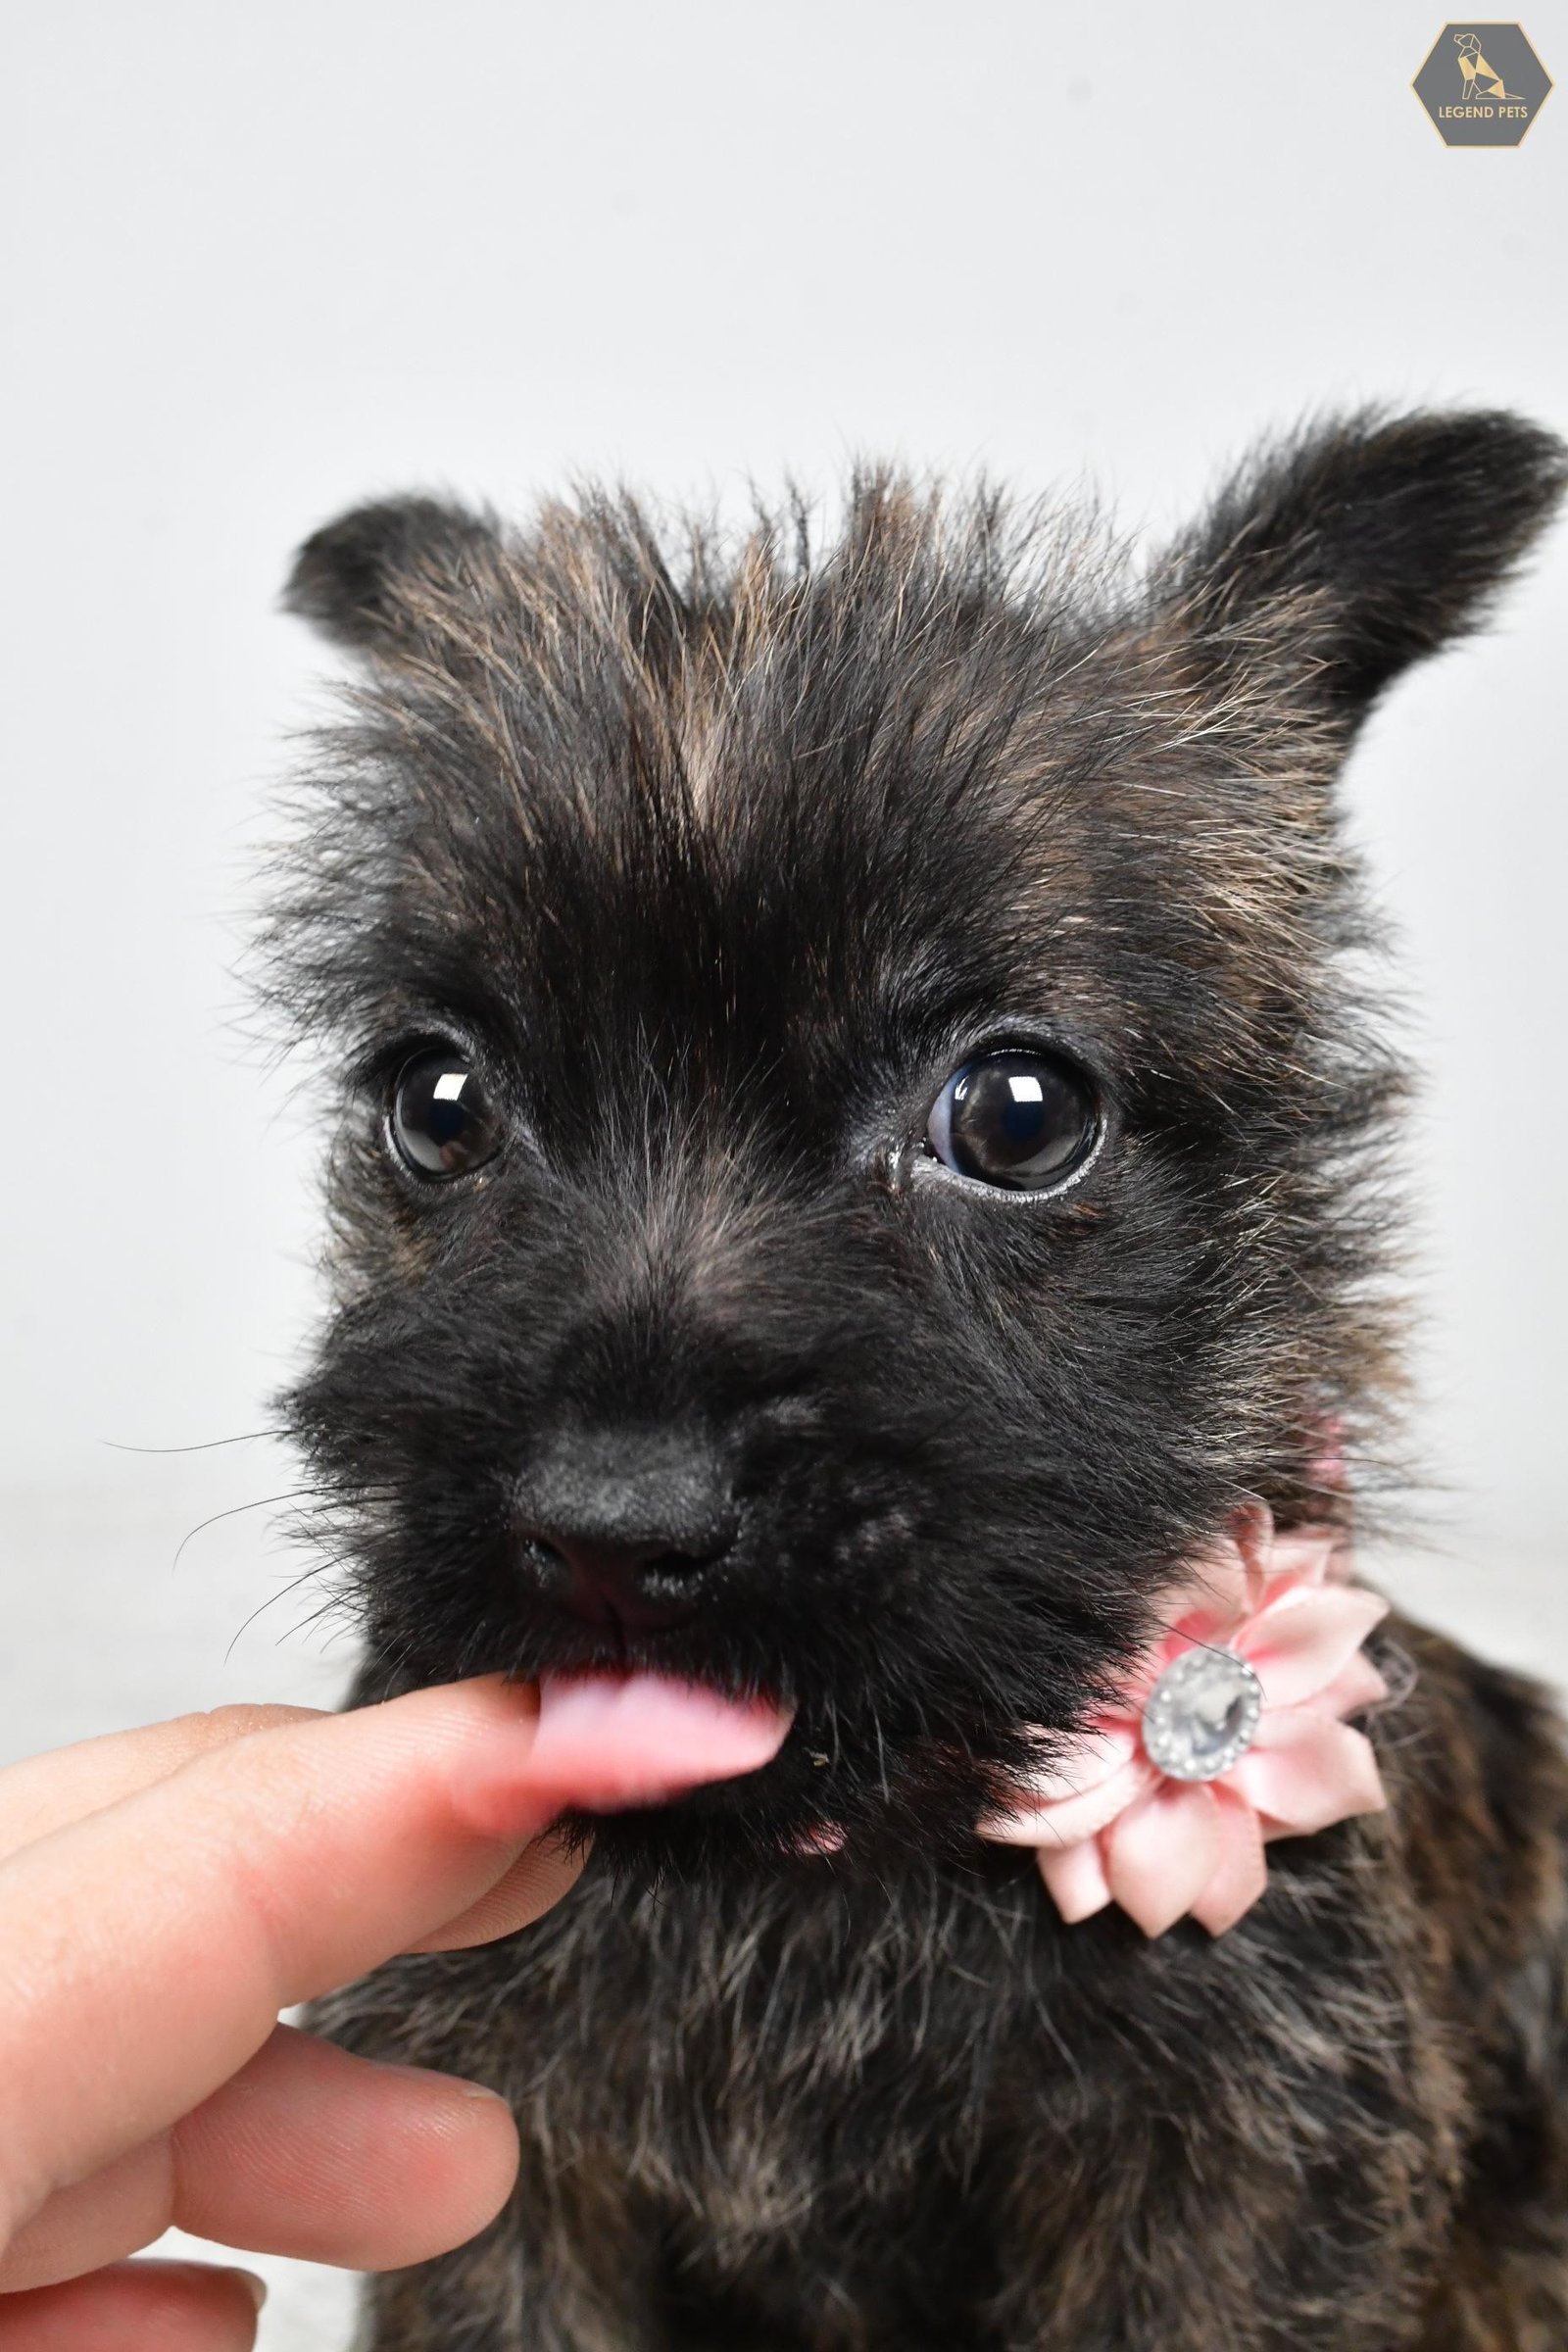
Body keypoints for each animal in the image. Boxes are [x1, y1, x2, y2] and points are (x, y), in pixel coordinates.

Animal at [271, 411, 1568, 2349]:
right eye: (436, 1104)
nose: (615, 1520)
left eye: (1018, 1115)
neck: (814, 1890)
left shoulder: (1230, 2191)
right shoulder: (502, 2176)